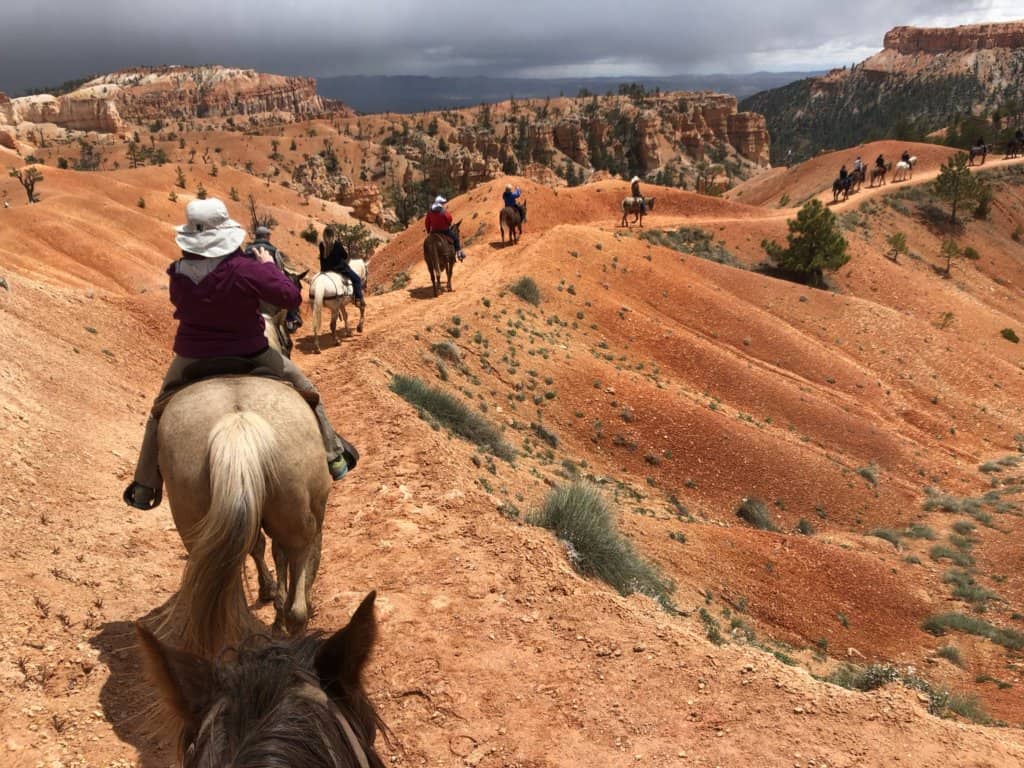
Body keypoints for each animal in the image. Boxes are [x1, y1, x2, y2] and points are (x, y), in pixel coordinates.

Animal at [157, 376, 329, 659]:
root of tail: (238, 426)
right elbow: (279, 556)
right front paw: (275, 598)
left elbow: (260, 548)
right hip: (299, 524)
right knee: (296, 605)